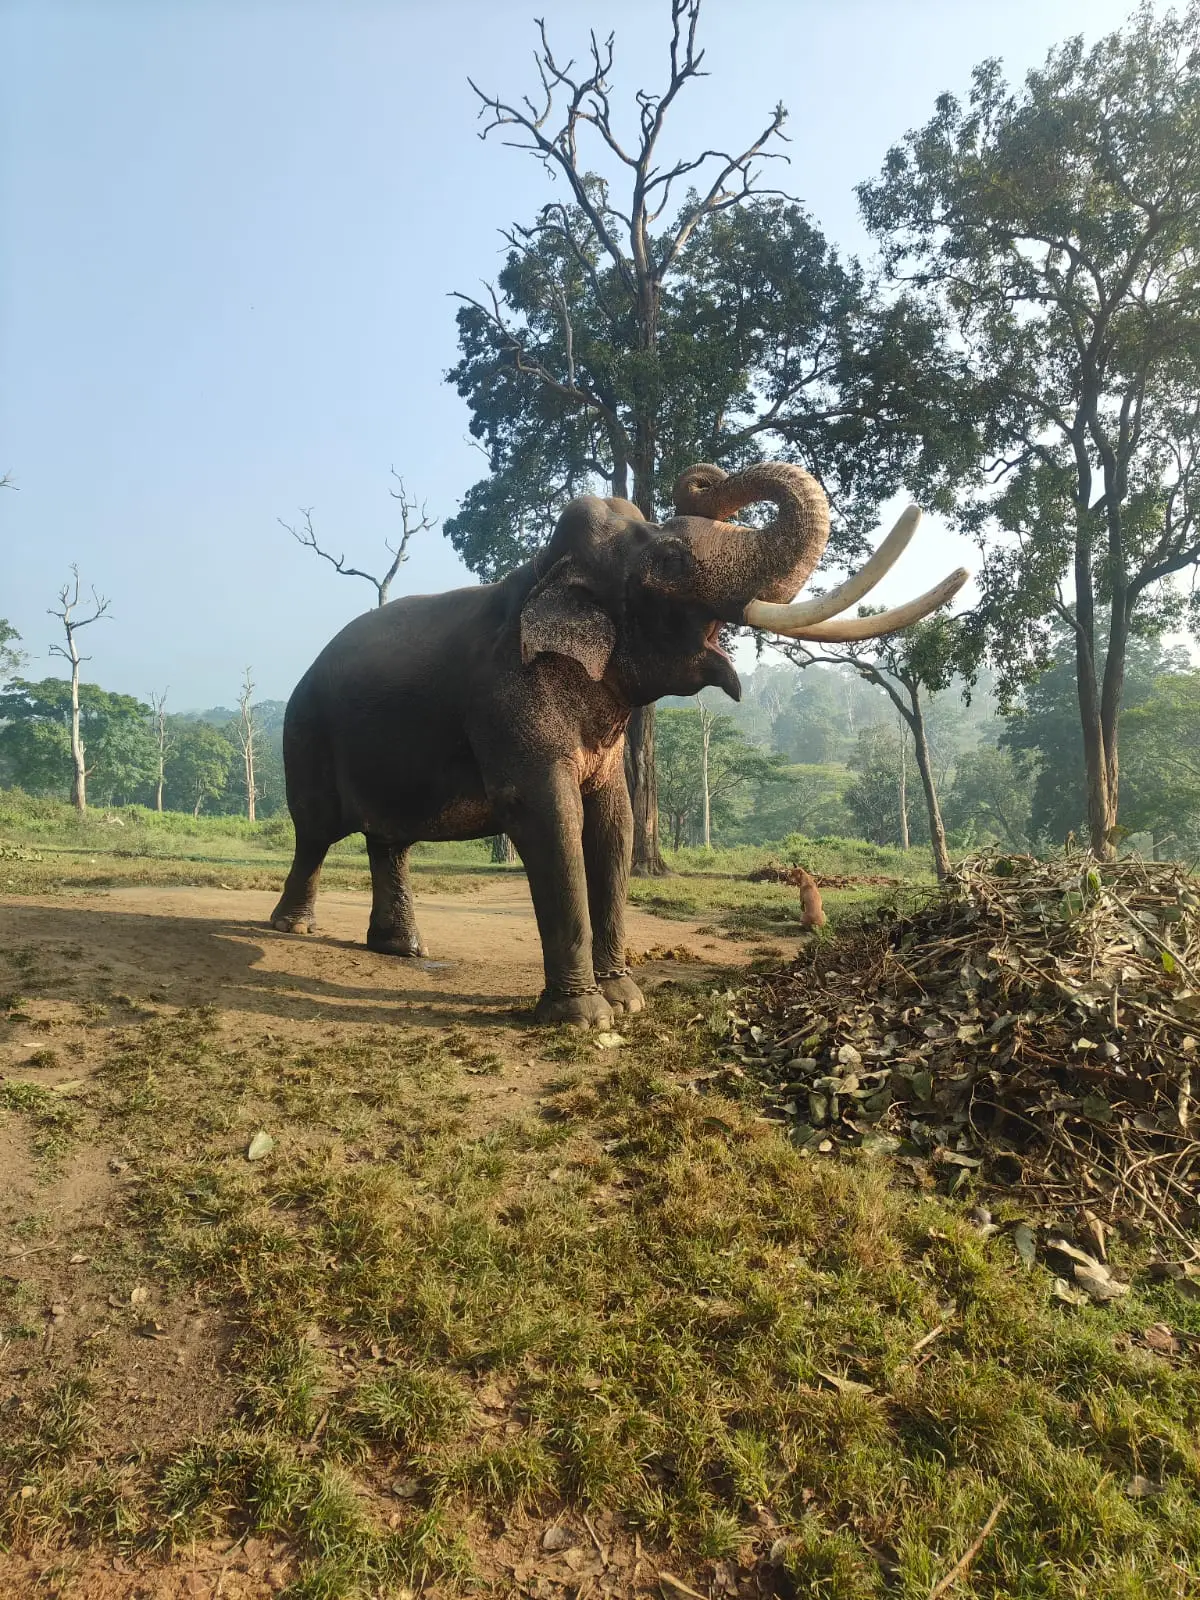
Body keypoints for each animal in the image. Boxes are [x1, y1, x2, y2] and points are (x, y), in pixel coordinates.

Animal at [270, 460, 966, 1027]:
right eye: (675, 562)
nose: (703, 478)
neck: (545, 572)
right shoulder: (506, 696)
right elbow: (549, 816)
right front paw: (583, 1017)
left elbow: (614, 822)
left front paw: (628, 1000)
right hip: (303, 731)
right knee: (316, 831)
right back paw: (290, 926)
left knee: (389, 841)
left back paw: (400, 947)